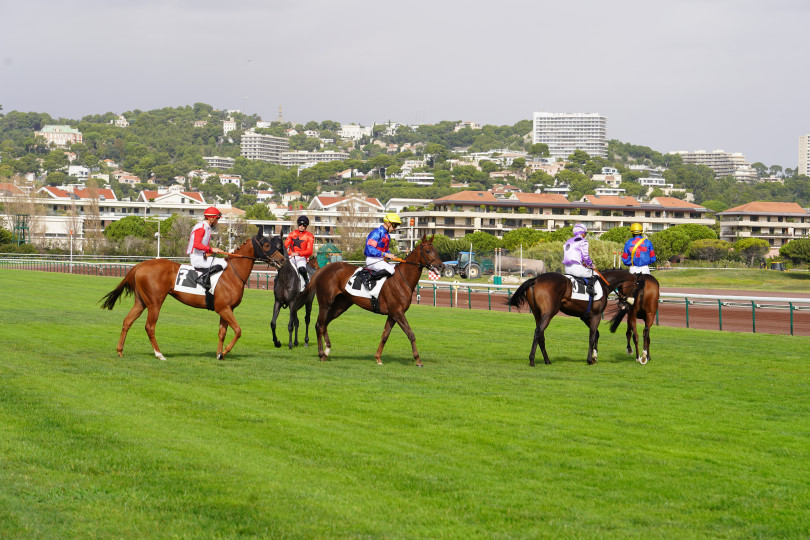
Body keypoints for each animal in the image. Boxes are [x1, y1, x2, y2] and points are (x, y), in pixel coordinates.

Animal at [100, 226, 284, 360]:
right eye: (267, 245)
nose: (282, 260)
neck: (232, 273)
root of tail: (140, 265)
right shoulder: (224, 308)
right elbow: (238, 330)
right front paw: (224, 352)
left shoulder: (226, 309)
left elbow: (222, 333)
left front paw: (219, 354)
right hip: (154, 302)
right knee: (149, 327)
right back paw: (159, 354)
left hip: (141, 301)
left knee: (127, 321)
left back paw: (120, 350)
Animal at [290, 234, 442, 364]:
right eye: (428, 250)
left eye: (436, 250)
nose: (441, 265)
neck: (401, 279)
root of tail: (321, 270)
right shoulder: (398, 312)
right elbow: (411, 334)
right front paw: (418, 360)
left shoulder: (393, 314)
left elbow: (385, 335)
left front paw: (378, 358)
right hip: (325, 303)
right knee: (320, 325)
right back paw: (321, 353)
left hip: (341, 305)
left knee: (325, 323)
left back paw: (327, 351)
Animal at [504, 270, 636, 368]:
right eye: (635, 287)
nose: (626, 304)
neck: (604, 285)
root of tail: (535, 279)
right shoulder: (596, 315)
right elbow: (592, 336)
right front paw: (590, 359)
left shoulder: (585, 316)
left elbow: (596, 334)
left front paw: (594, 356)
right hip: (549, 313)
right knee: (538, 332)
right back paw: (532, 360)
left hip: (537, 314)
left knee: (541, 335)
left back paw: (547, 360)